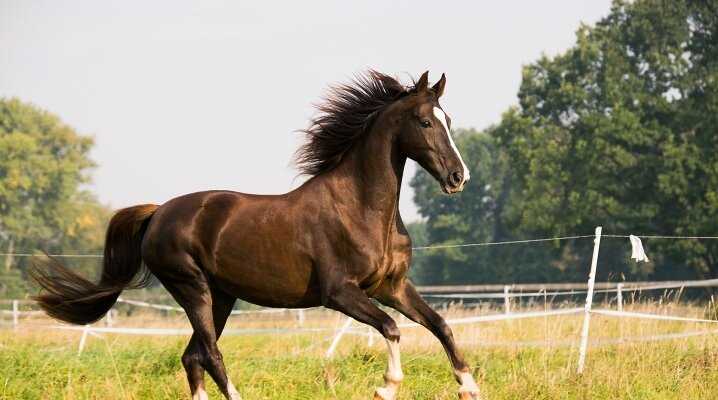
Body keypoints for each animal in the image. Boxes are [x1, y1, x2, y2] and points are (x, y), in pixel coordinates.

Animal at [32, 71, 484, 400]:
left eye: (449, 121)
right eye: (425, 122)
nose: (458, 177)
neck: (361, 209)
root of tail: (158, 213)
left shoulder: (391, 287)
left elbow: (440, 325)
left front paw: (469, 386)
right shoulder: (340, 292)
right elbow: (391, 328)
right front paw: (386, 386)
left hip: (221, 297)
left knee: (192, 357)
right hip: (192, 288)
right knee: (210, 355)